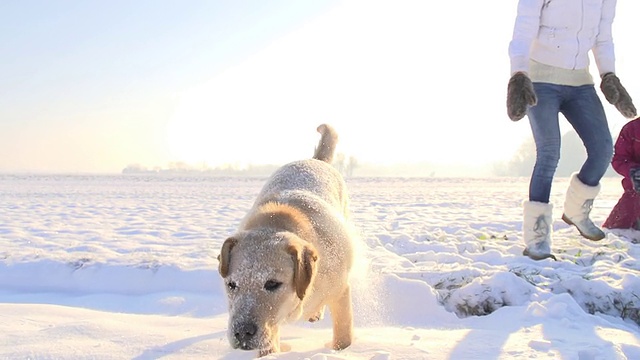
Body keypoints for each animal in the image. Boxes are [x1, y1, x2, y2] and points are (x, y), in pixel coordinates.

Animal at [219, 124, 356, 358]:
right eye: (231, 284)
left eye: (272, 284)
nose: (242, 333)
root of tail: (314, 160)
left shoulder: (340, 291)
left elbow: (343, 335)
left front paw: (342, 352)